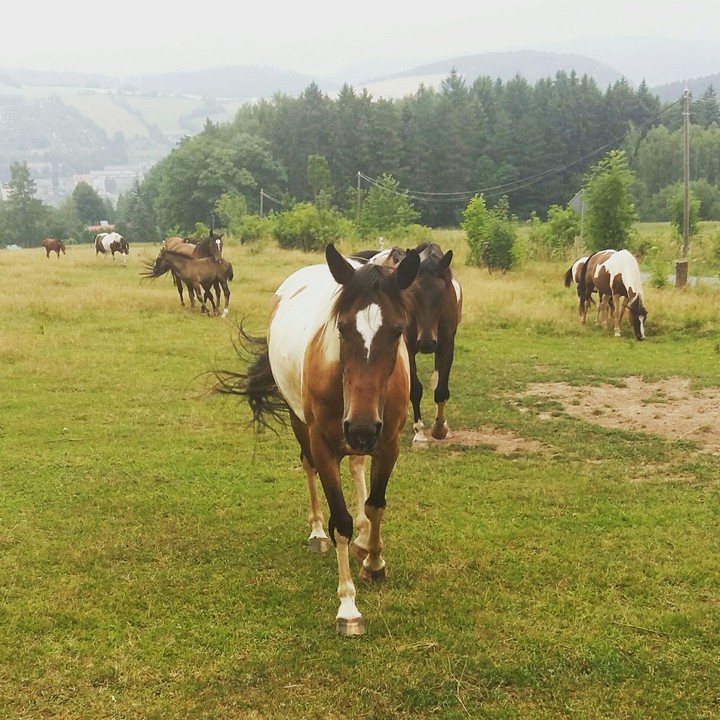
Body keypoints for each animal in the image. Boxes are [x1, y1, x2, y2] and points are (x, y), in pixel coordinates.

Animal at [212, 244, 420, 635]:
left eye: (399, 330)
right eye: (342, 328)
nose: (361, 427)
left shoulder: (388, 445)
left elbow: (376, 504)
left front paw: (373, 561)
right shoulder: (324, 445)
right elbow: (341, 520)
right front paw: (348, 607)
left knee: (357, 467)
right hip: (302, 423)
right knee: (308, 467)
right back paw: (317, 535)